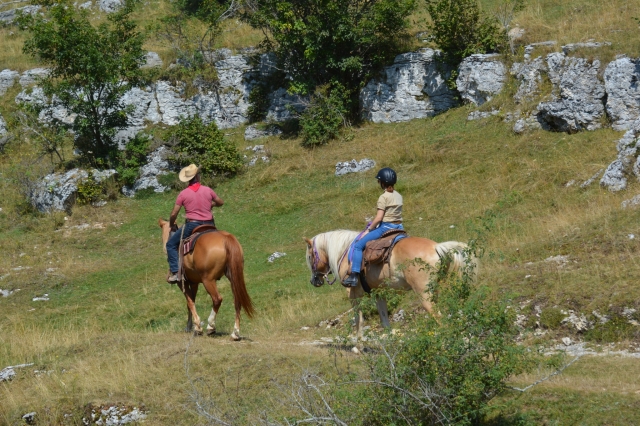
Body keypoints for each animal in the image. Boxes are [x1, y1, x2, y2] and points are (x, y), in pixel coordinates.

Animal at [304, 230, 476, 338]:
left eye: (310, 257)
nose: (314, 281)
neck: (346, 253)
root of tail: (436, 247)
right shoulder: (379, 294)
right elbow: (385, 320)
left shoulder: (353, 295)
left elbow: (359, 319)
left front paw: (358, 345)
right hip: (435, 291)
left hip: (424, 294)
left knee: (439, 317)